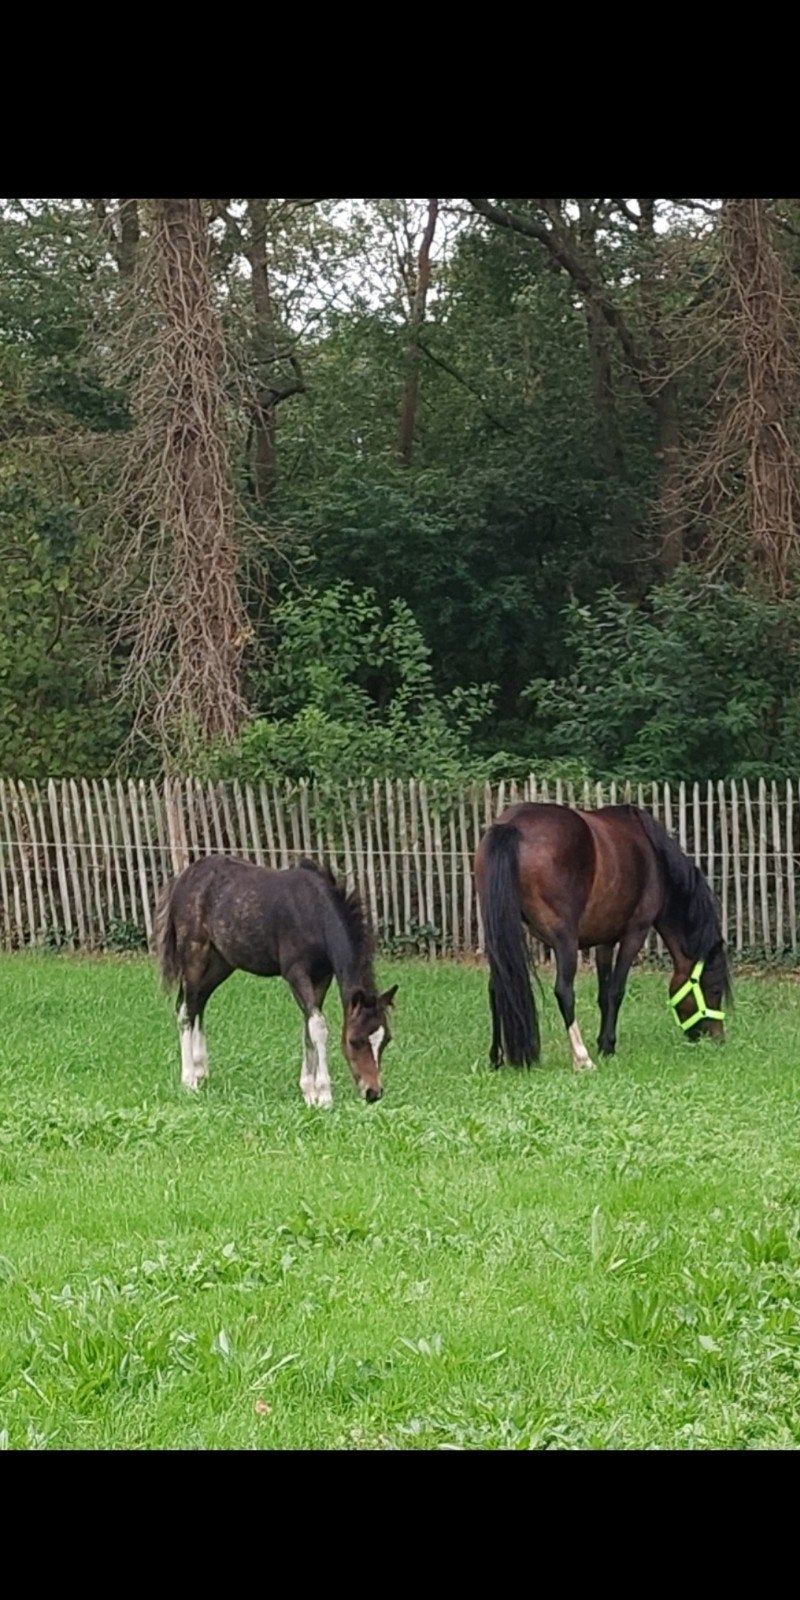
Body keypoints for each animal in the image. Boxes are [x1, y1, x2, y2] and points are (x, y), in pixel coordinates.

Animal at [154, 855, 398, 1107]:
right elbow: (318, 1026)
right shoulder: (296, 973)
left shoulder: (322, 977)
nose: (373, 1092)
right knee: (186, 1010)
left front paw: (309, 1093)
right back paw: (189, 1081)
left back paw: (201, 1071)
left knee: (199, 1003)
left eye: (386, 1040)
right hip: (194, 955)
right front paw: (324, 1095)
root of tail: (181, 878)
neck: (314, 913)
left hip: (221, 962)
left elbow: (308, 1026)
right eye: (354, 1041)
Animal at [474, 802, 731, 1073]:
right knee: (564, 991)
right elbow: (616, 991)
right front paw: (607, 1046)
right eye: (714, 990)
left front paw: (603, 1043)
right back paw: (582, 1058)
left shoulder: (605, 941)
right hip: (565, 941)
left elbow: (603, 994)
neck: (655, 858)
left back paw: (496, 1058)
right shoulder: (635, 933)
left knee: (497, 987)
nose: (718, 1039)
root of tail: (512, 826)